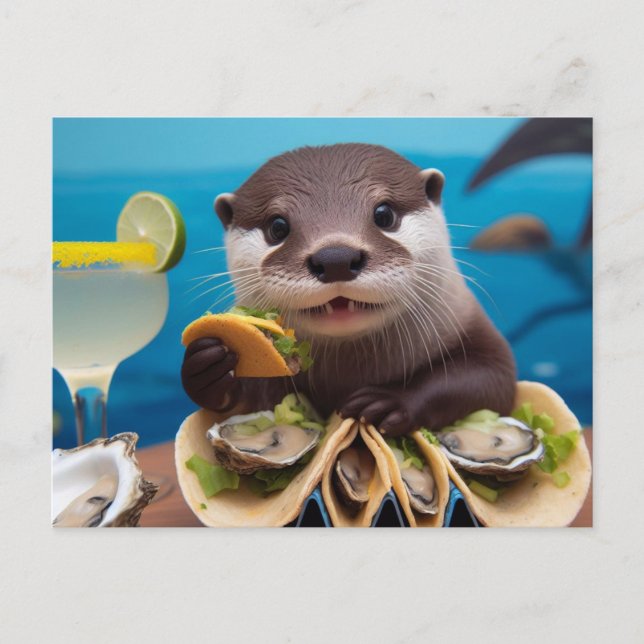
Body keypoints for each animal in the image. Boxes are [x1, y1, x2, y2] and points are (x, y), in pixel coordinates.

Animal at [182, 144, 516, 436]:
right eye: (277, 227)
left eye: (384, 214)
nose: (336, 258)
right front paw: (209, 366)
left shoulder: (475, 332)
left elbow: (491, 379)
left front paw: (390, 402)